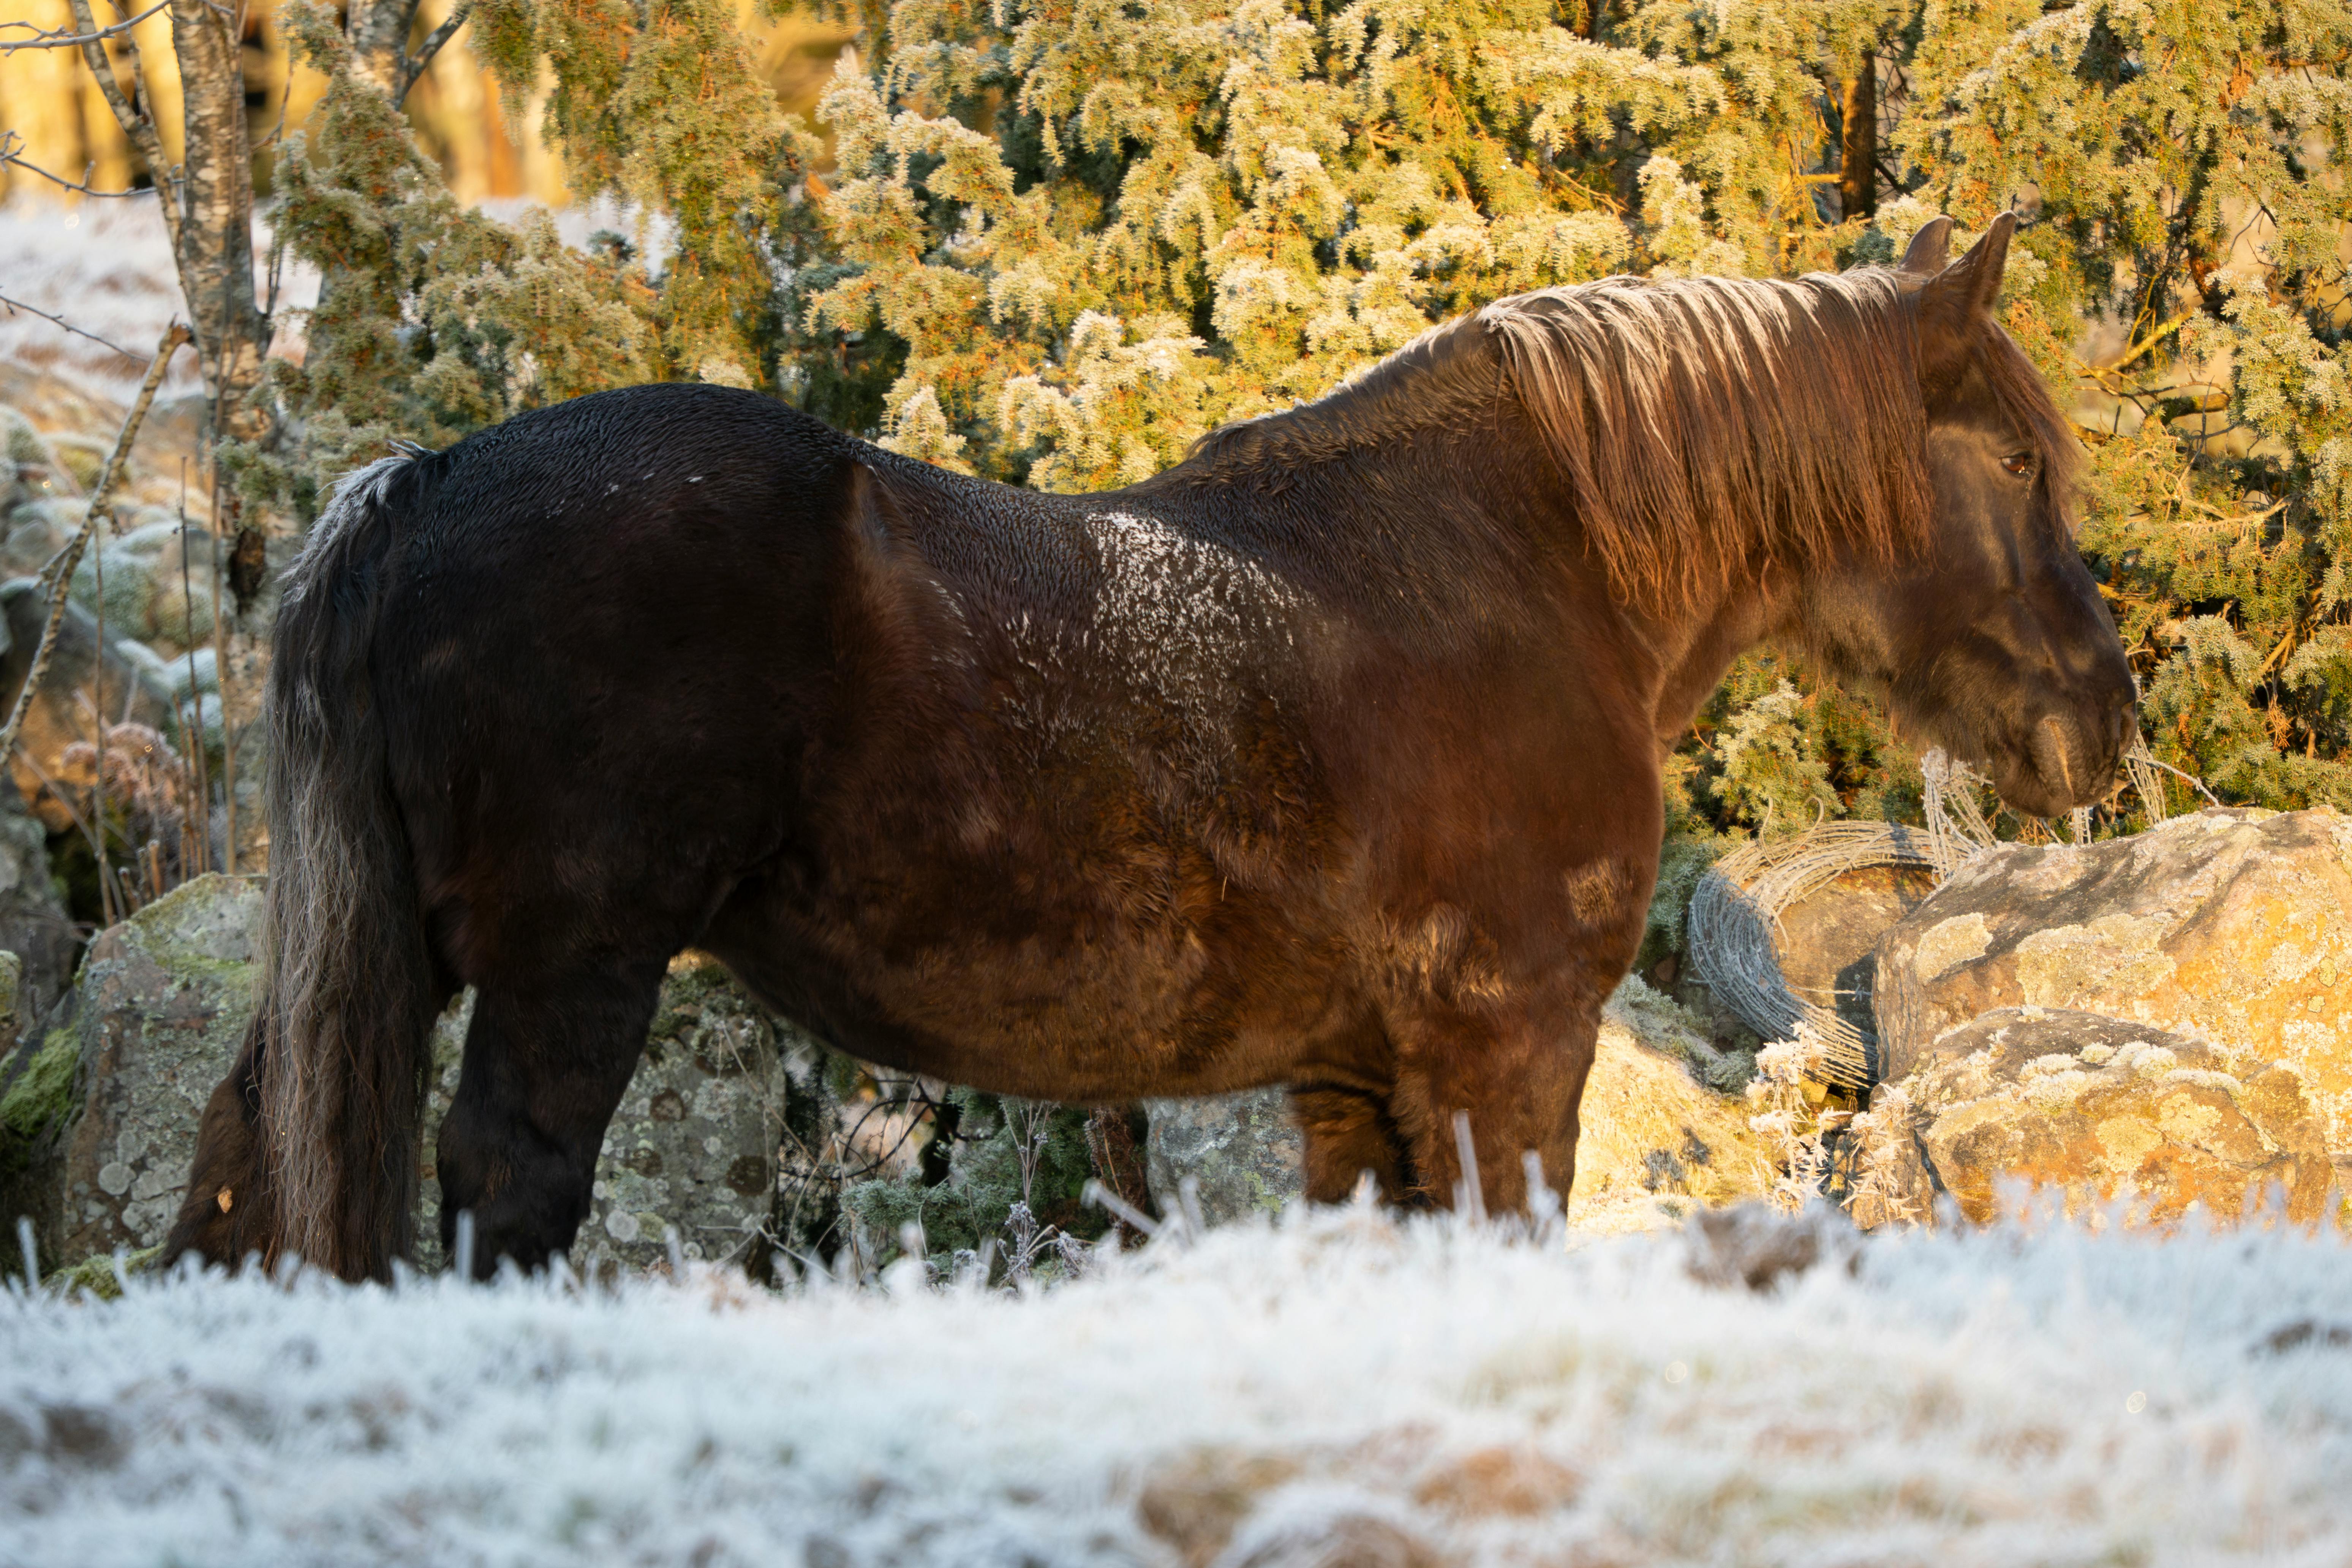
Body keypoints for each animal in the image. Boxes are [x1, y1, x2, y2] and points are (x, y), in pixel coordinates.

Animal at [165, 213, 2136, 1281]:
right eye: (2012, 460)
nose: (2097, 731)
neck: (1516, 570)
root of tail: (426, 482)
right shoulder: (1504, 1058)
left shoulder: (1352, 1086)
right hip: (572, 973)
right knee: (505, 1191)